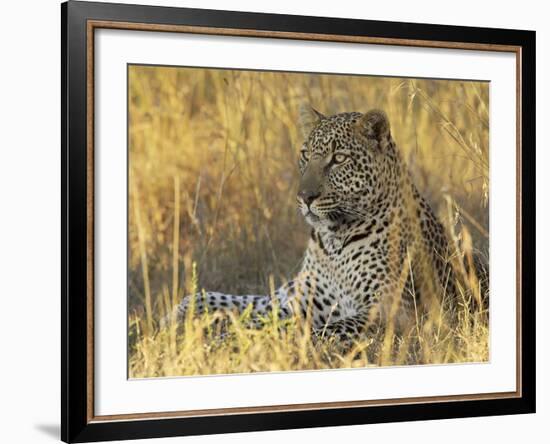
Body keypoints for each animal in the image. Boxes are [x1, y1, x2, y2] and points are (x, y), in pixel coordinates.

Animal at [167, 106, 466, 342]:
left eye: (339, 159)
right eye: (304, 155)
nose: (304, 197)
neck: (333, 240)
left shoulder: (389, 312)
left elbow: (313, 330)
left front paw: (226, 341)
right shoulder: (300, 298)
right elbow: (251, 307)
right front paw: (185, 317)